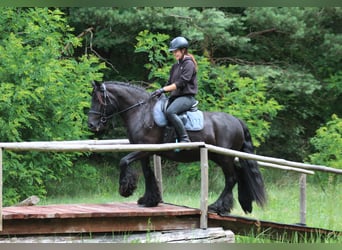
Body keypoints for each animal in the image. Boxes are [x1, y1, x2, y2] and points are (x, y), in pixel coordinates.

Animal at [87, 81, 266, 214]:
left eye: (99, 100)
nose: (91, 125)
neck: (141, 112)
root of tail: (237, 121)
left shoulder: (146, 149)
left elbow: (124, 161)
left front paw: (125, 189)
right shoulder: (144, 151)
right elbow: (147, 173)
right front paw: (149, 200)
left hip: (224, 157)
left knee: (231, 178)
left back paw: (217, 207)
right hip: (220, 156)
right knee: (239, 173)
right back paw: (241, 203)